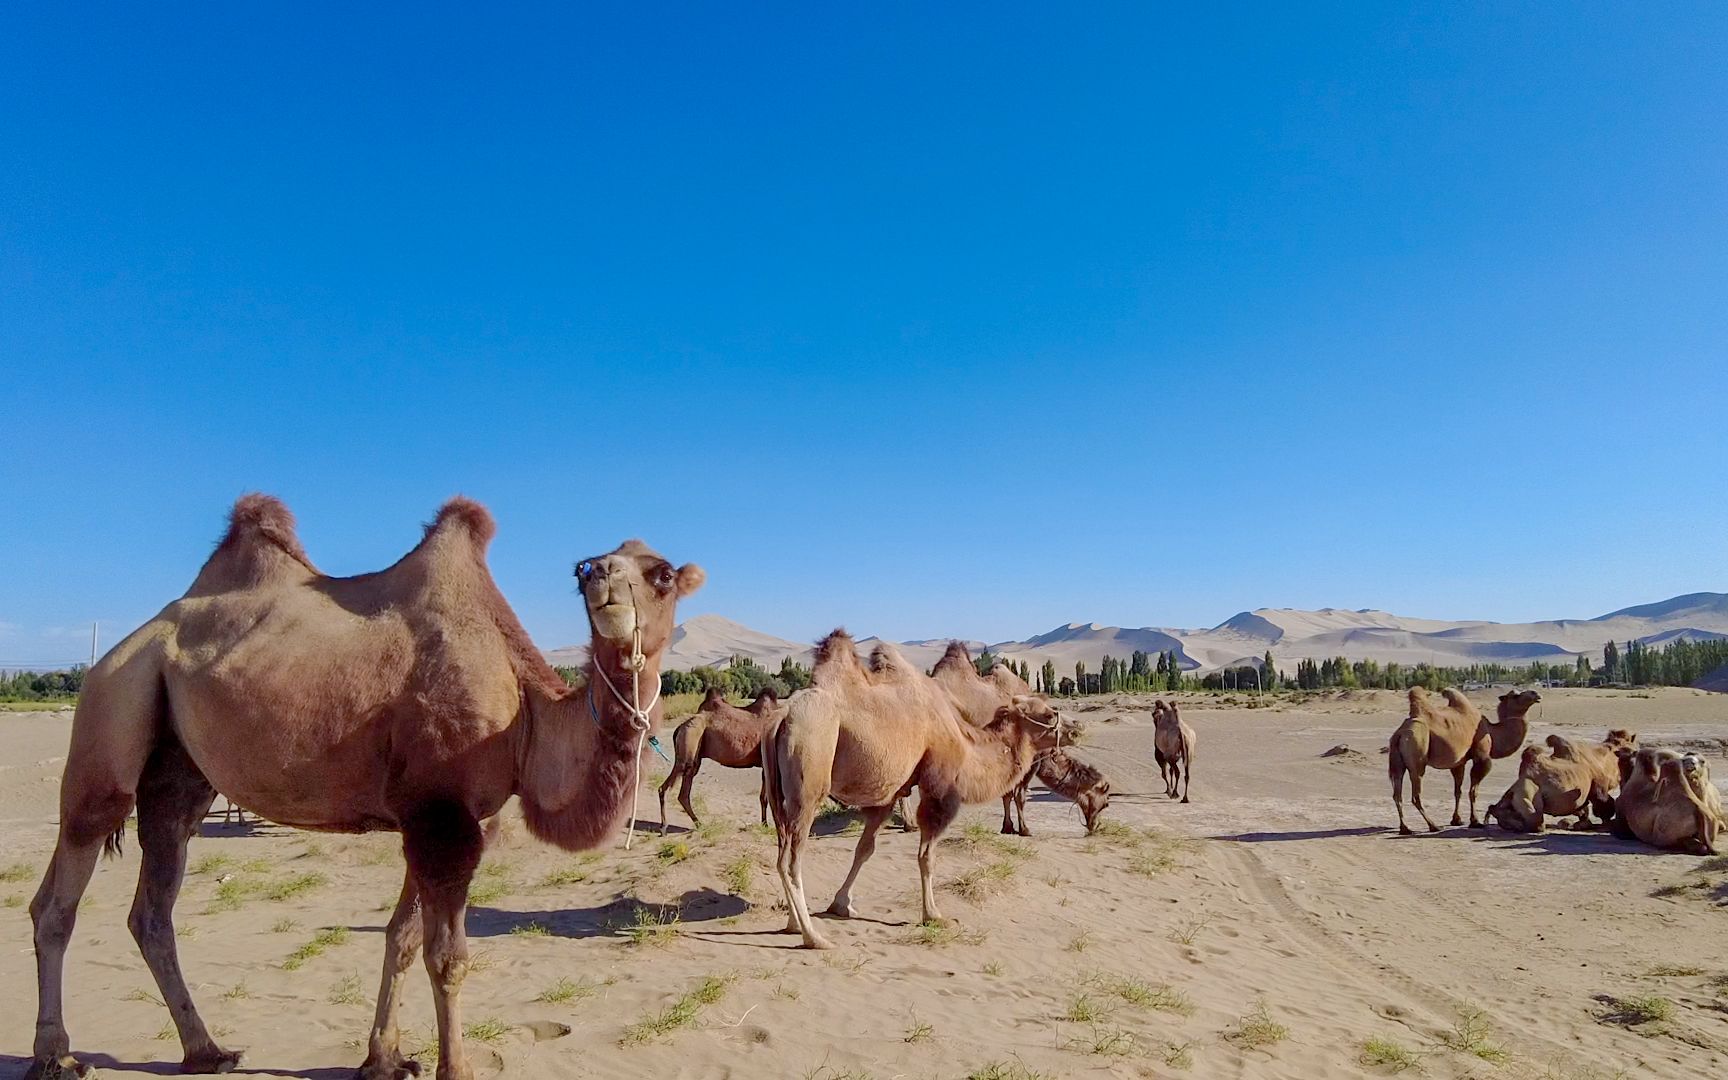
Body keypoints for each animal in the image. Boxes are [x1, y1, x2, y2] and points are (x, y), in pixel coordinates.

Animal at [21, 494, 701, 1078]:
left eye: (662, 574)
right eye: (584, 569)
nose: (602, 578)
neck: (524, 711)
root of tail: (119, 650)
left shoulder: (455, 817)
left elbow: (401, 939)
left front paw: (385, 1060)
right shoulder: (439, 816)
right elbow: (447, 956)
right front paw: (455, 1068)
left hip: (177, 773)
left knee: (153, 905)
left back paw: (206, 1050)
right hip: (113, 706)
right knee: (61, 894)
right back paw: (58, 1057)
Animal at [653, 680, 784, 832]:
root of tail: (679, 727)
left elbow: (765, 797)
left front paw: (764, 824)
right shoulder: (767, 764)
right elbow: (766, 798)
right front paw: (766, 825)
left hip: (695, 759)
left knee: (683, 794)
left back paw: (698, 824)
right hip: (689, 742)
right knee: (665, 788)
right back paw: (664, 826)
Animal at [1382, 680, 1548, 832]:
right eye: (1515, 695)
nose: (1535, 693)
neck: (1492, 731)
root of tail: (1401, 733)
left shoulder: (1458, 763)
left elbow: (1458, 791)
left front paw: (1457, 820)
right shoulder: (1482, 757)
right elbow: (1473, 791)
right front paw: (1475, 822)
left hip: (1397, 761)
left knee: (1397, 793)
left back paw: (1405, 828)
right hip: (1417, 752)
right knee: (1415, 794)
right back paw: (1433, 826)